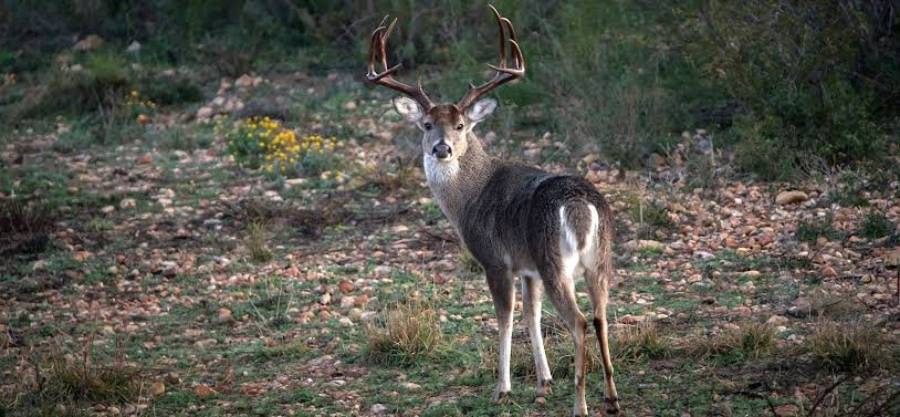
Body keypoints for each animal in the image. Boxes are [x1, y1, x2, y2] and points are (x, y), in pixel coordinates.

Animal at [366, 6, 620, 416]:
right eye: (426, 124)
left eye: (460, 125)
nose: (441, 148)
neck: (471, 195)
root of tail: (580, 205)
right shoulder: (527, 267)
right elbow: (531, 315)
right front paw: (543, 382)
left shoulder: (495, 260)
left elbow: (504, 319)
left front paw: (502, 388)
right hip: (600, 260)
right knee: (600, 316)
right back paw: (611, 399)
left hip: (555, 261)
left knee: (580, 322)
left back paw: (580, 405)